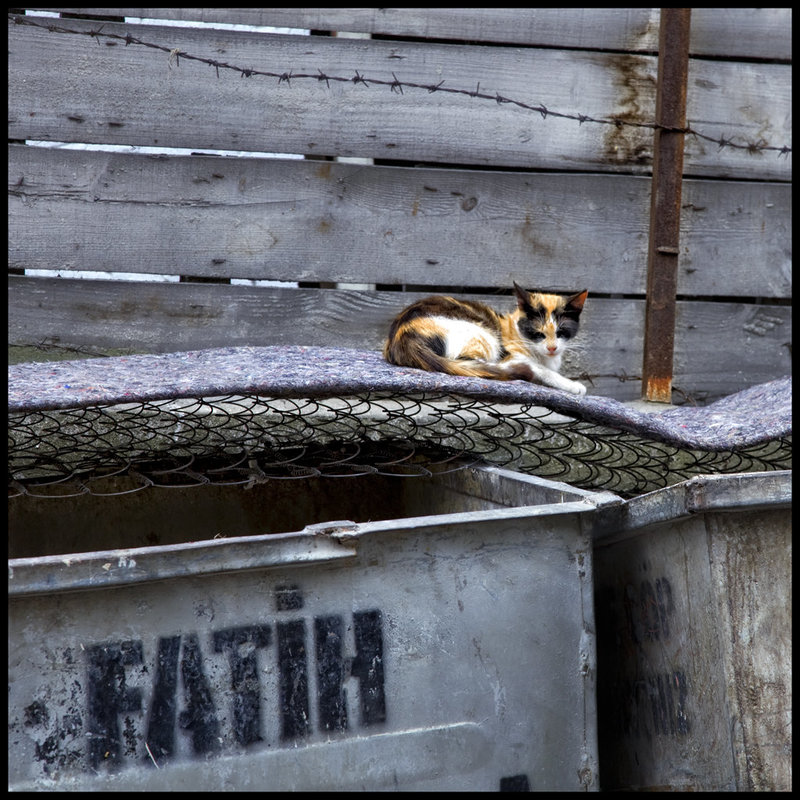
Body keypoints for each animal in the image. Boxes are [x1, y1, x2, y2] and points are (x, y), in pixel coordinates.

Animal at [382, 282, 588, 396]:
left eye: (561, 332)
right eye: (538, 333)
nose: (552, 348)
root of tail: (402, 335)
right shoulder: (513, 355)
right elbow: (542, 370)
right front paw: (572, 385)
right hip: (483, 336)